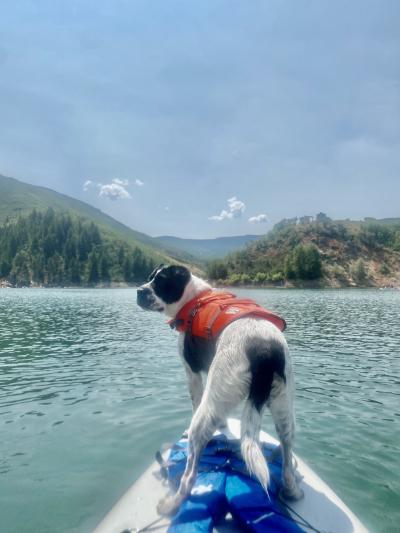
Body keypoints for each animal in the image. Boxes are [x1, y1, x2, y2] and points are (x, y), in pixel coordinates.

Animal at [136, 264, 302, 516]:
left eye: (161, 281)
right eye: (149, 278)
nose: (138, 291)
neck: (194, 300)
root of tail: (264, 350)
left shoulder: (193, 374)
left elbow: (194, 401)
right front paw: (223, 426)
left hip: (208, 409)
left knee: (190, 472)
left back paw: (173, 502)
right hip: (284, 408)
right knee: (287, 453)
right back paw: (291, 489)